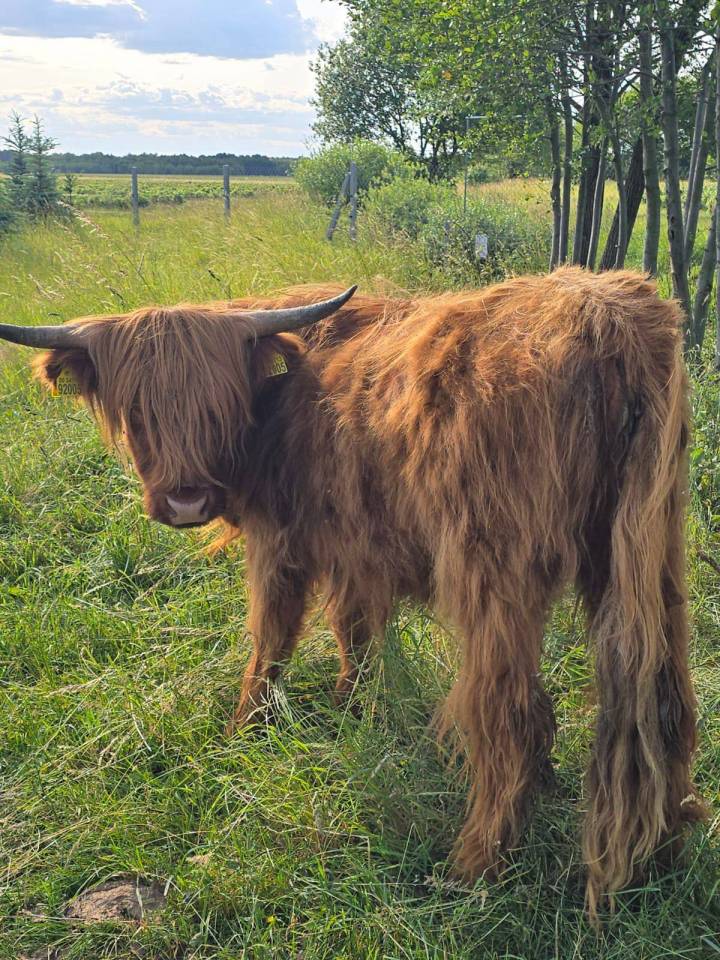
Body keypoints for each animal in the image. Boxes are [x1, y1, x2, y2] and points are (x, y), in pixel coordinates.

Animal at [0, 267, 705, 917]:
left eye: (217, 404)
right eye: (138, 410)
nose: (186, 500)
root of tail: (610, 315)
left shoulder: (280, 539)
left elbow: (272, 635)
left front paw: (243, 728)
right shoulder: (356, 547)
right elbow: (355, 631)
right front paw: (350, 709)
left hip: (493, 573)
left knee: (514, 719)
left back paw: (469, 871)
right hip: (651, 553)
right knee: (663, 698)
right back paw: (667, 850)